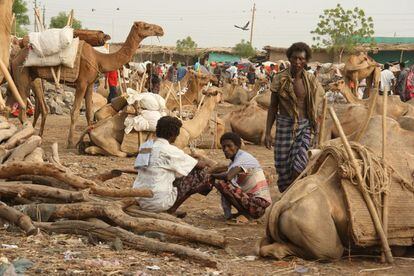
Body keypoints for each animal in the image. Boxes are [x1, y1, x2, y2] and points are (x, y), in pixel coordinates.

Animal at [11, 21, 163, 148]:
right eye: (146, 26)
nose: (161, 29)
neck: (99, 59)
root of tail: (16, 56)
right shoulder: (82, 83)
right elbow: (75, 111)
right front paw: (71, 143)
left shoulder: (89, 85)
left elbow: (89, 112)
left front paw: (90, 139)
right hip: (22, 75)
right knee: (23, 110)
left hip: (33, 78)